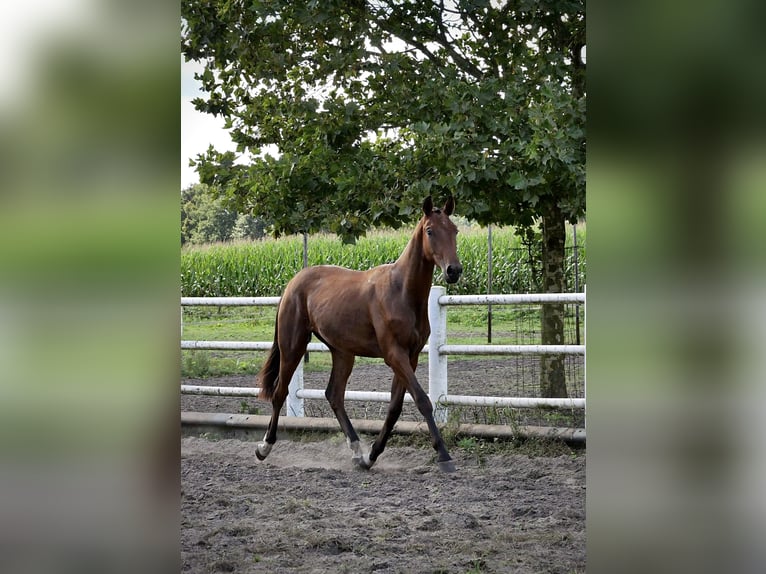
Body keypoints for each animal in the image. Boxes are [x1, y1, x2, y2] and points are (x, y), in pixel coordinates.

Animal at [256, 196, 462, 474]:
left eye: (454, 230)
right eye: (430, 231)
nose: (454, 270)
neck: (401, 291)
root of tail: (292, 284)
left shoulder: (410, 356)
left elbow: (395, 407)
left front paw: (372, 456)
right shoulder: (394, 355)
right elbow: (422, 400)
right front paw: (444, 456)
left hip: (342, 353)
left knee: (334, 395)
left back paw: (356, 452)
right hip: (293, 346)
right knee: (280, 392)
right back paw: (264, 447)